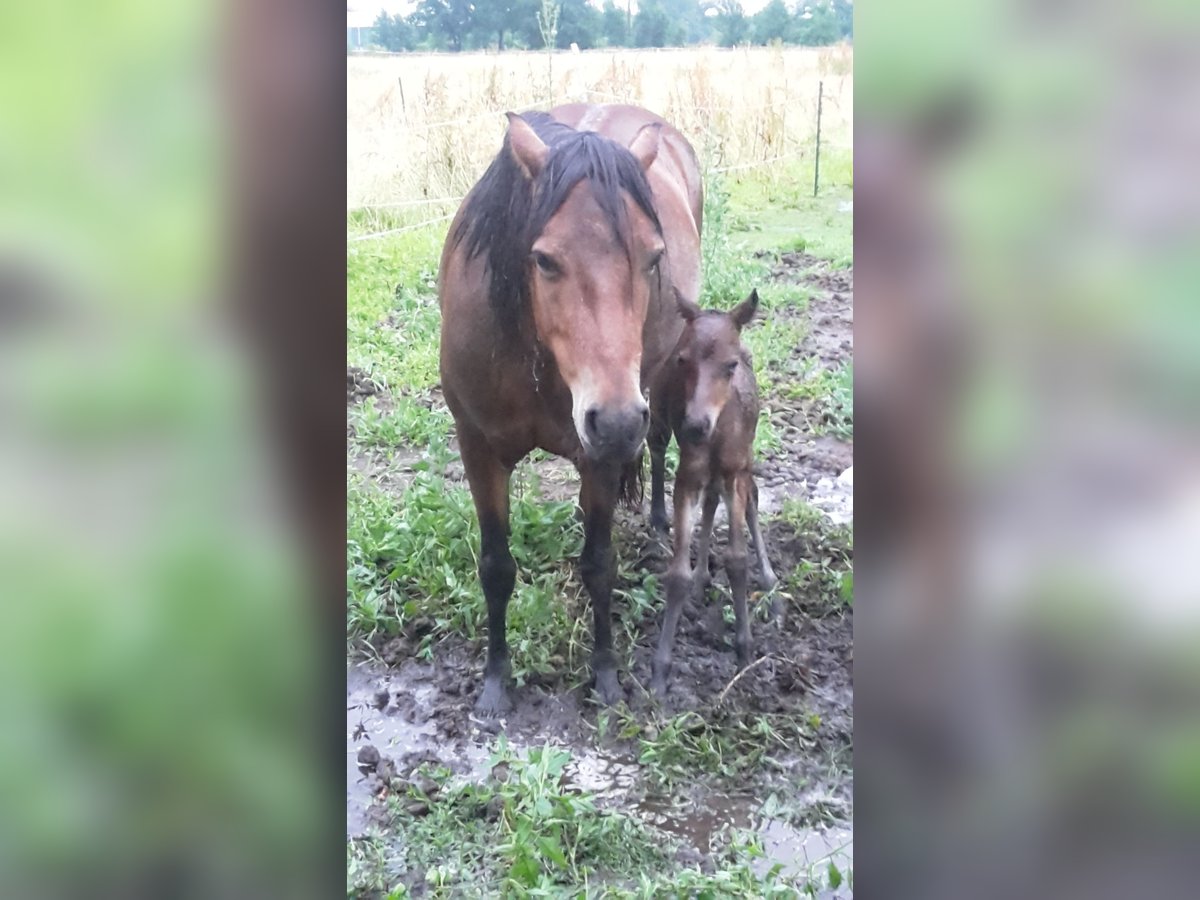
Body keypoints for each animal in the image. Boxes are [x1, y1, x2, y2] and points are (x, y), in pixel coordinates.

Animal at [441, 105, 700, 715]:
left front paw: (604, 676)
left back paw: (659, 518)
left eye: (653, 257)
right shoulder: (477, 449)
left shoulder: (599, 456)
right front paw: (495, 682)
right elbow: (496, 568)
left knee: (659, 443)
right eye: (543, 259)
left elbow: (599, 565)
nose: (618, 421)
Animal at [648, 289, 777, 696]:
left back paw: (768, 583)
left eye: (732, 364)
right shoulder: (689, 474)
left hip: (744, 460)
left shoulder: (735, 469)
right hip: (660, 418)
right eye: (683, 360)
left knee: (746, 497)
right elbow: (677, 575)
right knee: (658, 449)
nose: (694, 426)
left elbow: (737, 559)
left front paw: (744, 647)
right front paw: (661, 668)